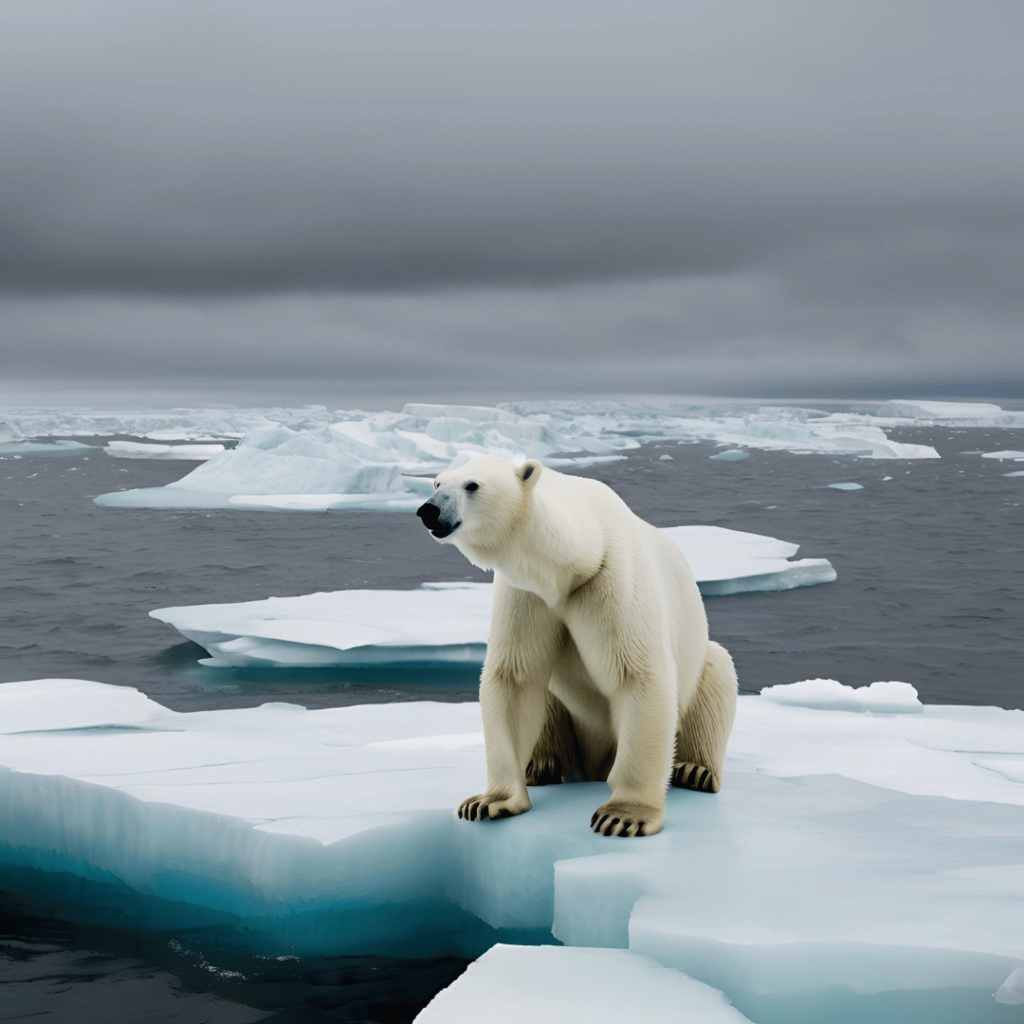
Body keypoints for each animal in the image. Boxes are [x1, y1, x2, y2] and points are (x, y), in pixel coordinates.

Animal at [415, 458, 737, 839]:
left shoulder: (611, 581)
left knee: (716, 675)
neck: (577, 560)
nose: (428, 510)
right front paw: (489, 802)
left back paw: (694, 769)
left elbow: (637, 674)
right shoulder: (528, 594)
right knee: (550, 701)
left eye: (472, 485)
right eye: (436, 482)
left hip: (700, 669)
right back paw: (542, 767)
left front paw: (623, 815)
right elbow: (516, 678)